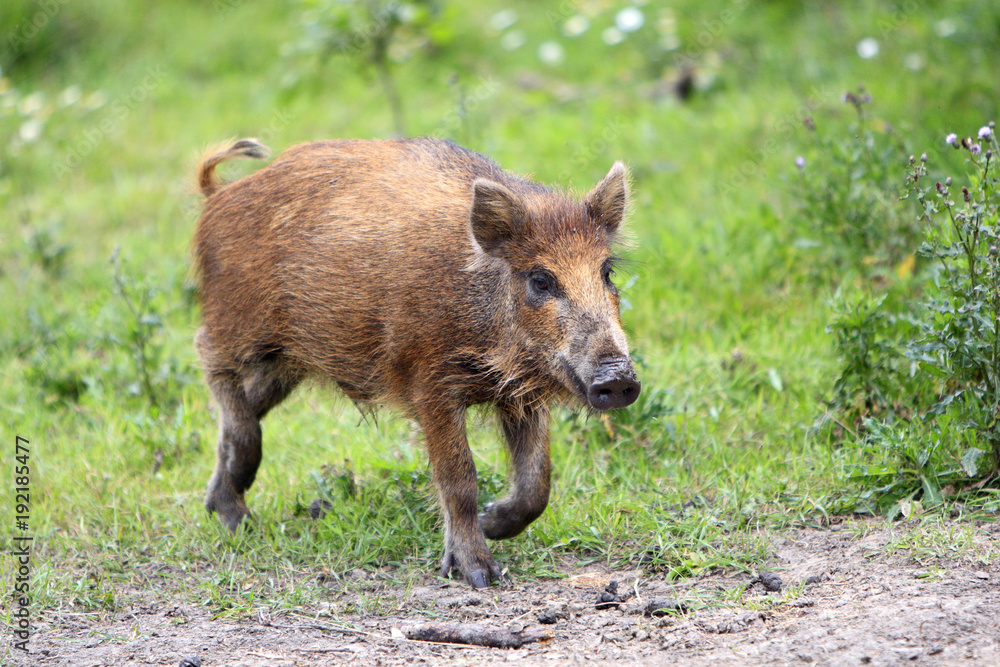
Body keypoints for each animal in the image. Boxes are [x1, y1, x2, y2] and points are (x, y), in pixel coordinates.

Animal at [192, 137, 640, 588]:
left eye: (607, 272)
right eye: (541, 280)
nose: (618, 378)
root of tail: (219, 195)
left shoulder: (521, 392)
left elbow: (537, 482)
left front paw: (492, 522)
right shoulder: (430, 384)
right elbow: (459, 477)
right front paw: (480, 574)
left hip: (287, 360)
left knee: (244, 405)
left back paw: (227, 513)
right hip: (238, 322)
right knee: (210, 361)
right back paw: (239, 510)